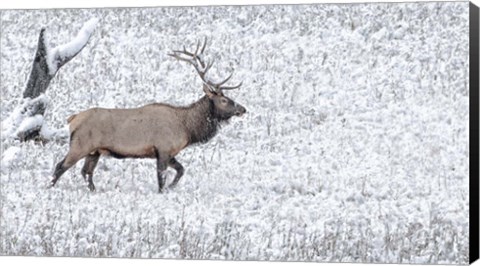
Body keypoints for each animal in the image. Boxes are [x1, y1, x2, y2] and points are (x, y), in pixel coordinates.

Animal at [50, 38, 246, 192]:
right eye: (224, 100)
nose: (242, 109)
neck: (187, 128)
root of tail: (72, 119)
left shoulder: (168, 152)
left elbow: (181, 170)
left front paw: (171, 188)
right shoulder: (163, 149)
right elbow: (162, 178)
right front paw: (164, 191)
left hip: (94, 151)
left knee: (86, 172)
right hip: (80, 145)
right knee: (60, 166)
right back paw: (49, 188)